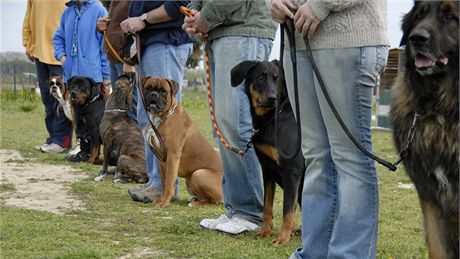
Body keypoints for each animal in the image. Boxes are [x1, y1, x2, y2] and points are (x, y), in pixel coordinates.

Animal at [230, 60, 306, 245]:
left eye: (277, 79)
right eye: (260, 77)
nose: (272, 98)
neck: (272, 119)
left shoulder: (292, 171)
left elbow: (287, 210)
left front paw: (282, 238)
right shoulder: (267, 168)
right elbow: (267, 205)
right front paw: (266, 232)